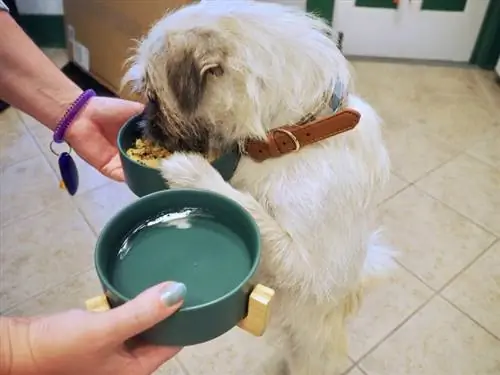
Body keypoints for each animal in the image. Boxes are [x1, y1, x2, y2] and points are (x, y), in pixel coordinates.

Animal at [124, 1, 394, 374]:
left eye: (153, 97)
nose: (143, 126)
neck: (297, 134)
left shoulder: (304, 265)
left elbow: (248, 207)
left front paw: (192, 171)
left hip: (311, 350)